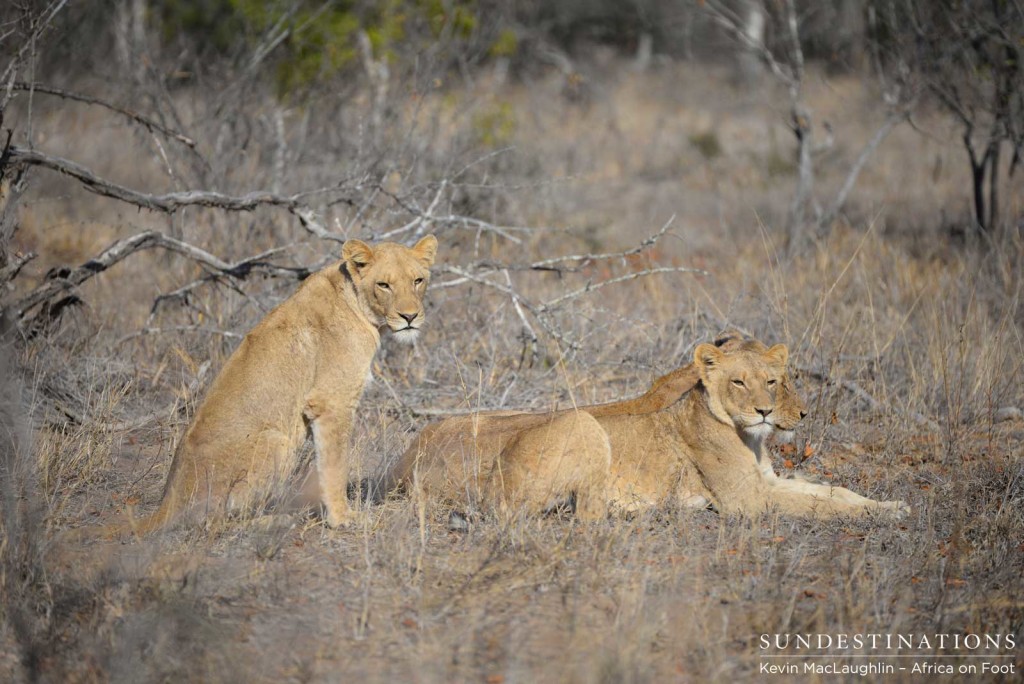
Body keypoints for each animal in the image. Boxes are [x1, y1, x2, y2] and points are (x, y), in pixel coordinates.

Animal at [112, 235, 440, 532]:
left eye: (418, 280)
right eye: (384, 285)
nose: (410, 316)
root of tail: (169, 502)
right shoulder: (331, 403)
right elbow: (335, 465)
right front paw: (343, 518)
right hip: (277, 442)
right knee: (214, 522)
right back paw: (277, 521)